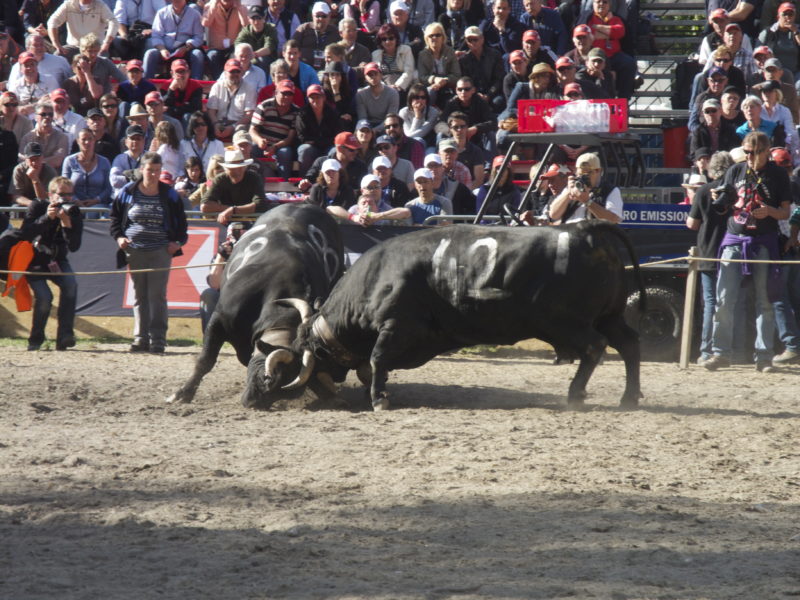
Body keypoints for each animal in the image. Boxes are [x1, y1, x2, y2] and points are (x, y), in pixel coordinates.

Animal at [169, 205, 344, 408]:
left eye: (285, 392)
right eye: (269, 377)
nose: (255, 400)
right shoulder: (219, 319)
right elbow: (205, 360)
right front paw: (183, 393)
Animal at [282, 218, 644, 410]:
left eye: (312, 354)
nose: (313, 391)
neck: (378, 275)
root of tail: (583, 227)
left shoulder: (396, 325)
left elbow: (377, 358)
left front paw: (379, 398)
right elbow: (373, 365)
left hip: (565, 322)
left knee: (594, 347)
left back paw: (575, 394)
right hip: (609, 316)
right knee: (629, 344)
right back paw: (629, 396)